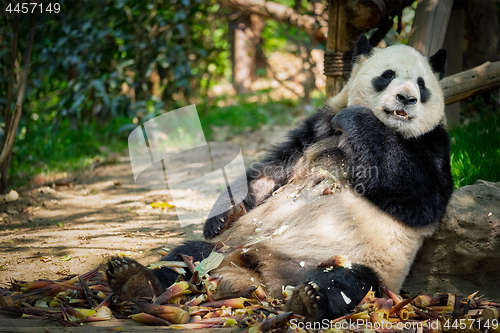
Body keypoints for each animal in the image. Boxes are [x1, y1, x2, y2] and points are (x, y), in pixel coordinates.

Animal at [105, 35, 454, 320]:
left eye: (422, 84)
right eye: (388, 76)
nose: (407, 99)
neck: (392, 129)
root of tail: (261, 276)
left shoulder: (433, 146)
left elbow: (418, 195)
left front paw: (358, 118)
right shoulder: (315, 130)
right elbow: (270, 172)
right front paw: (220, 216)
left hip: (360, 263)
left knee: (346, 281)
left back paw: (309, 299)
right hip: (225, 248)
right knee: (185, 255)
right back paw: (134, 279)